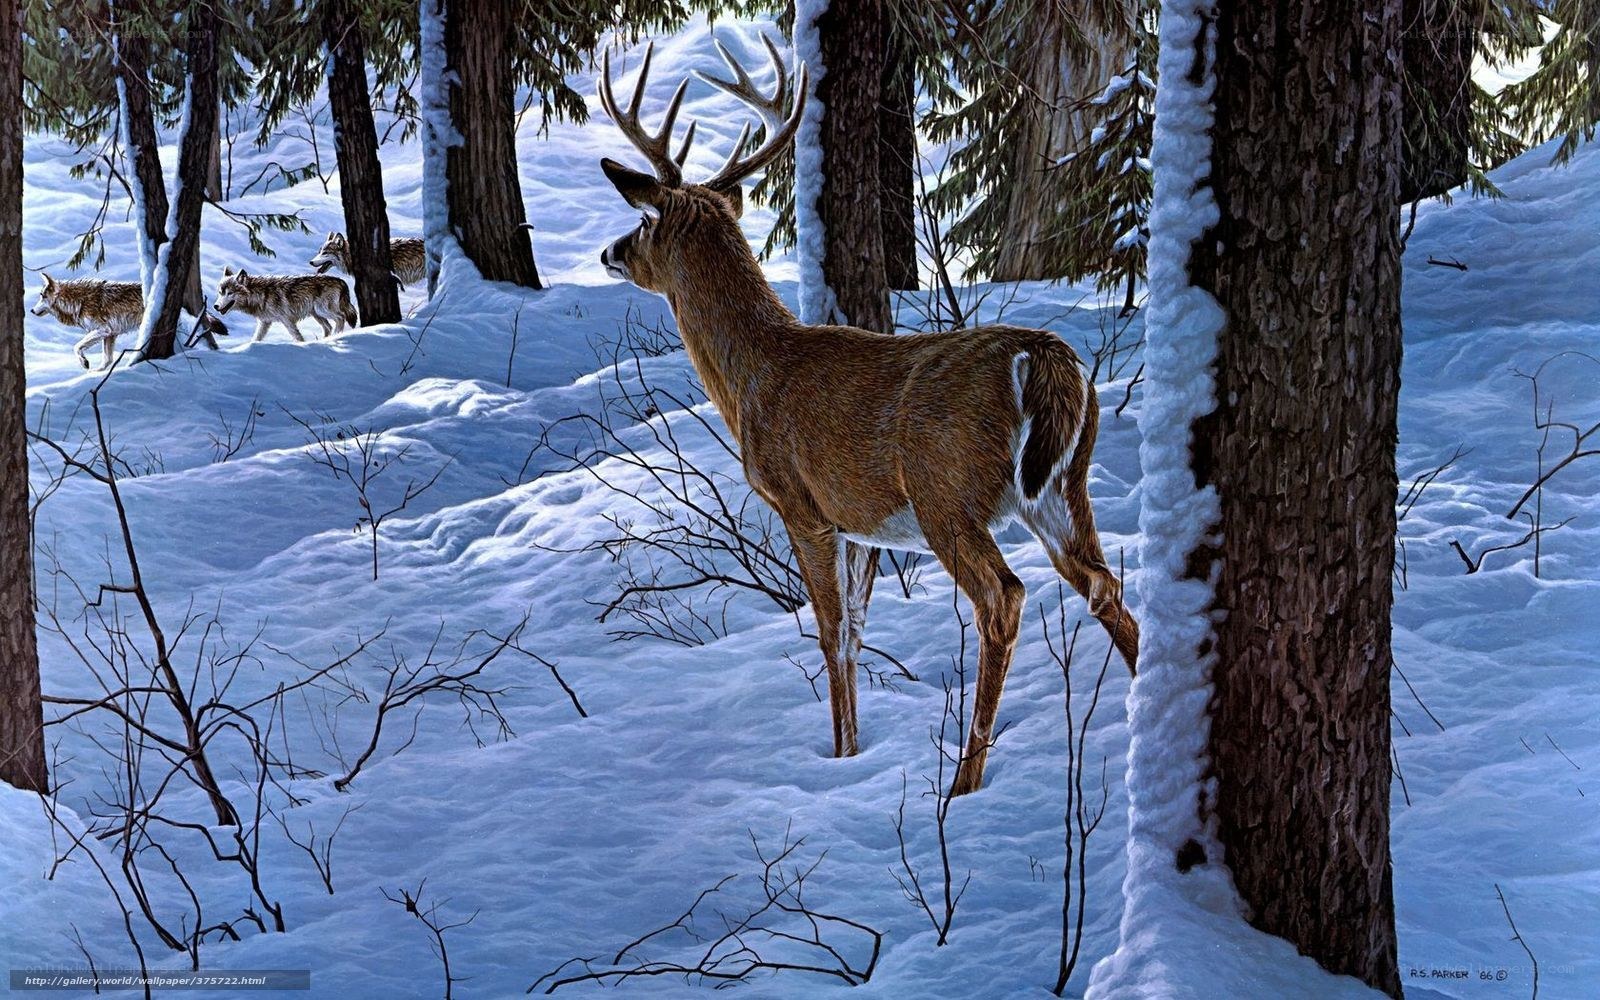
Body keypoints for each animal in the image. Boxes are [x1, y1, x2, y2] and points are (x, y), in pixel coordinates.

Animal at [214, 268, 358, 341]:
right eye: (220, 293)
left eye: (230, 293)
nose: (215, 306)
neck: (261, 294)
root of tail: (341, 281)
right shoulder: (264, 322)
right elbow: (255, 339)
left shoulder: (287, 320)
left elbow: (297, 337)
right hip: (317, 314)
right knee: (328, 327)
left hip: (322, 310)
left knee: (341, 317)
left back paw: (337, 336)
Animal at [596, 37, 1138, 796]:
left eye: (645, 221)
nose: (610, 250)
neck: (754, 374)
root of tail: (1044, 357)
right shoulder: (859, 523)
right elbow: (854, 632)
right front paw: (853, 754)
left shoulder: (801, 502)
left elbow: (829, 632)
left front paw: (839, 754)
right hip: (1063, 486)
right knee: (1103, 586)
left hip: (947, 491)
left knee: (1002, 598)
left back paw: (963, 784)